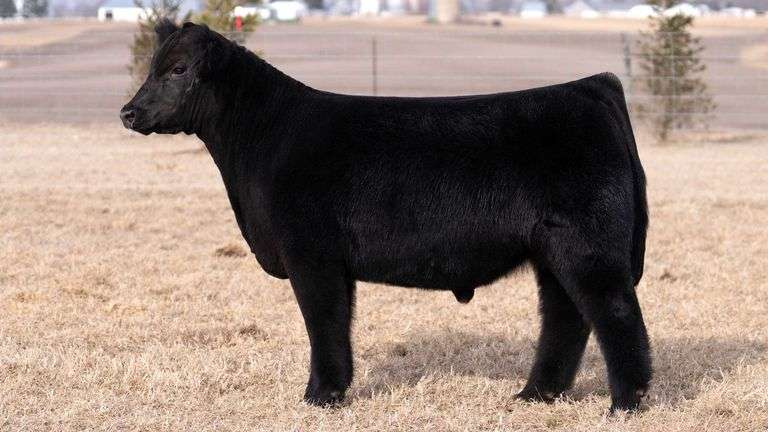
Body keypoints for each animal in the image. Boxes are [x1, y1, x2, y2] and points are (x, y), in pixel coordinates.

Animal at [120, 20, 651, 413]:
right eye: (154, 67)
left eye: (179, 69)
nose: (128, 112)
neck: (264, 138)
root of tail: (589, 87)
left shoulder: (311, 254)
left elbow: (324, 322)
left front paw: (321, 396)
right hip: (551, 250)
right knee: (566, 316)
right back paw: (535, 395)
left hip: (587, 244)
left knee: (615, 313)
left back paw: (626, 403)